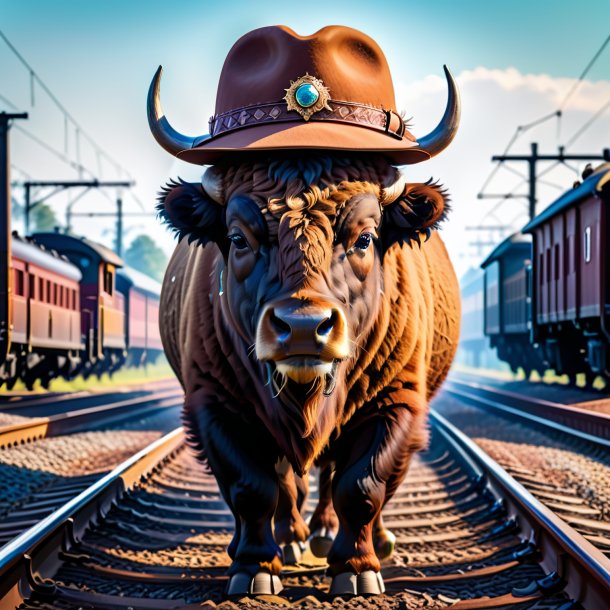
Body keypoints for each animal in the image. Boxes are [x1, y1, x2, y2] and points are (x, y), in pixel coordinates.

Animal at [150, 25, 458, 600]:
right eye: (237, 238)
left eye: (364, 237)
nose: (301, 328)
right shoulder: (214, 405)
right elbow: (253, 487)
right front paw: (254, 568)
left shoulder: (397, 402)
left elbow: (362, 484)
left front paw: (357, 570)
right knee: (290, 479)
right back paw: (292, 539)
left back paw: (350, 539)